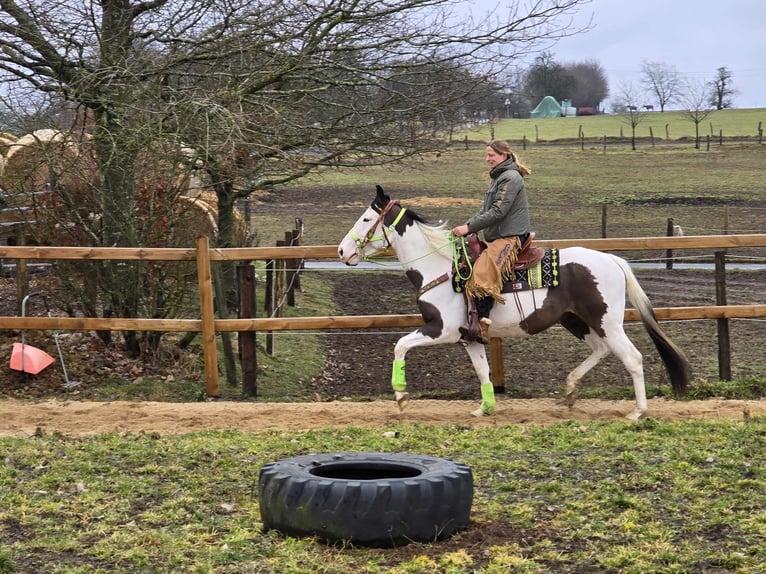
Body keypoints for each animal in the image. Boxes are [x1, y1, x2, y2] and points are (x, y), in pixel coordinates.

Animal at [340, 187, 692, 420]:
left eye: (367, 218)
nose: (343, 251)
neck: (439, 268)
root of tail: (613, 260)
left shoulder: (441, 330)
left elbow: (400, 344)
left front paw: (401, 396)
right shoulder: (469, 338)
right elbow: (482, 371)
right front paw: (484, 408)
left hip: (607, 322)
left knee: (632, 358)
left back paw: (637, 412)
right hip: (576, 320)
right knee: (601, 350)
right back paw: (570, 390)